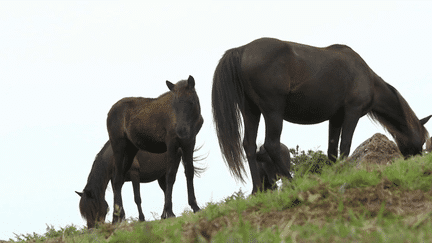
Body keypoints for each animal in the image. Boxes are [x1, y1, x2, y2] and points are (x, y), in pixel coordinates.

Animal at [75, 140, 204, 228]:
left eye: (92, 208)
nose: (91, 228)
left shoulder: (134, 175)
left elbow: (137, 198)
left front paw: (141, 218)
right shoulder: (115, 180)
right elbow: (117, 200)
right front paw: (117, 220)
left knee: (169, 187)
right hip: (161, 176)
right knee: (166, 190)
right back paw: (163, 216)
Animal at [107, 75, 203, 222]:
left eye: (191, 102)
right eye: (174, 105)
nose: (180, 131)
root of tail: (109, 113)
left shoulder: (190, 142)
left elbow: (189, 172)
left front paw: (195, 206)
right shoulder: (171, 143)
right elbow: (170, 175)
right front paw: (169, 212)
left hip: (130, 149)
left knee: (119, 179)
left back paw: (118, 216)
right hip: (118, 144)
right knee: (116, 179)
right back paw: (117, 217)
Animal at [213, 38, 432, 193]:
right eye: (421, 140)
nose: (417, 162)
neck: (366, 77)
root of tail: (242, 50)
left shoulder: (335, 118)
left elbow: (332, 150)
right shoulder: (352, 113)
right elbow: (345, 146)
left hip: (251, 110)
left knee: (249, 146)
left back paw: (257, 190)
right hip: (272, 111)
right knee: (271, 144)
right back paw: (293, 183)